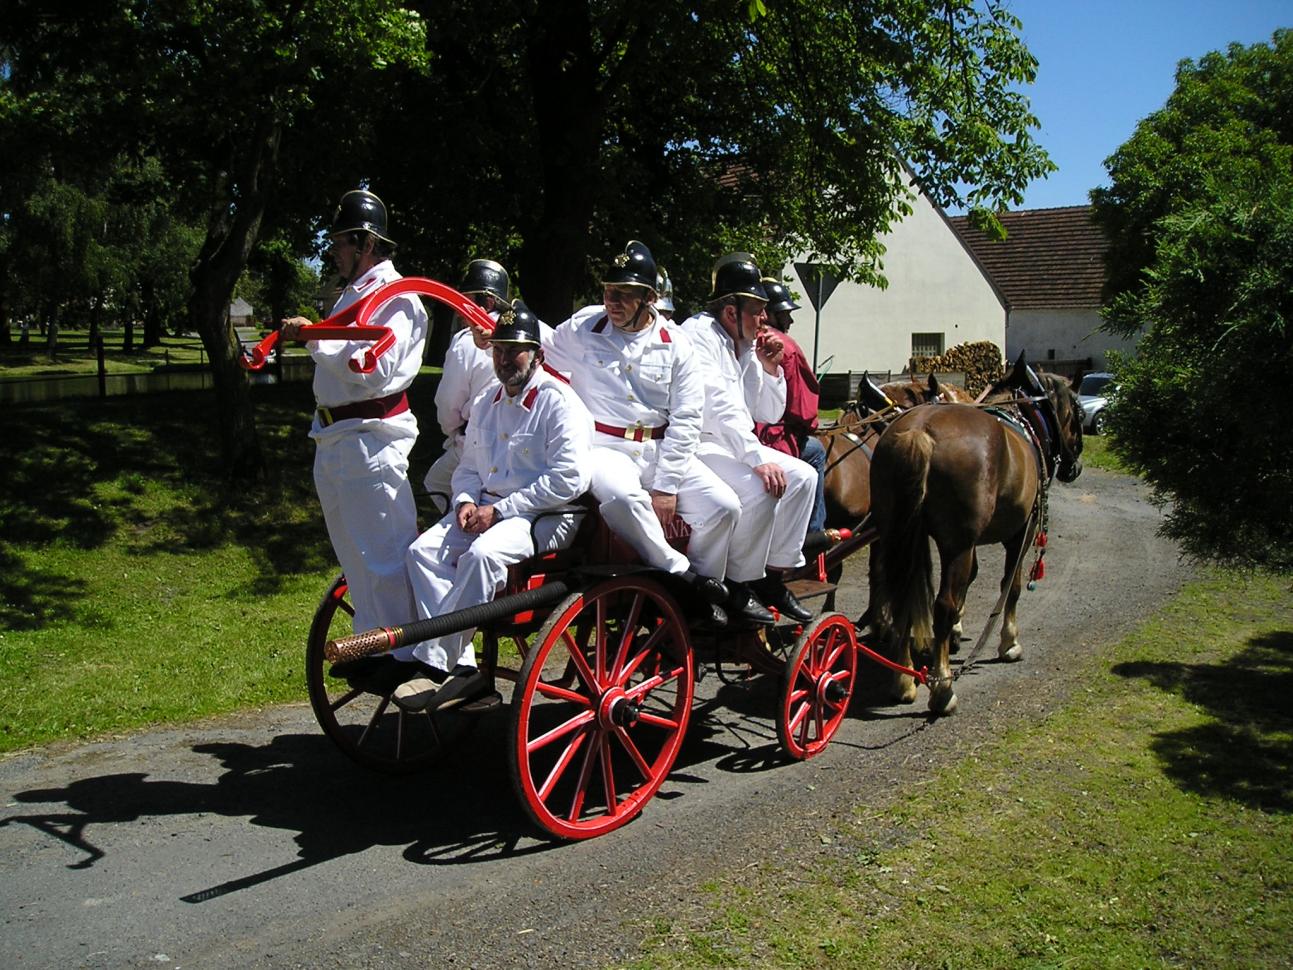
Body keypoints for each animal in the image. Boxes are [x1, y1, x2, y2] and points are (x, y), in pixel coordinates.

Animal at [868, 362, 1080, 713]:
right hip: (957, 546)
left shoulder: (969, 542)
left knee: (902, 596)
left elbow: (971, 579)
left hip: (898, 532)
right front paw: (1009, 642)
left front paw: (956, 632)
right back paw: (942, 688)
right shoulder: (1020, 533)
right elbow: (1011, 587)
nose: (1074, 467)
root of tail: (920, 432)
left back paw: (904, 679)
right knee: (942, 604)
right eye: (1076, 411)